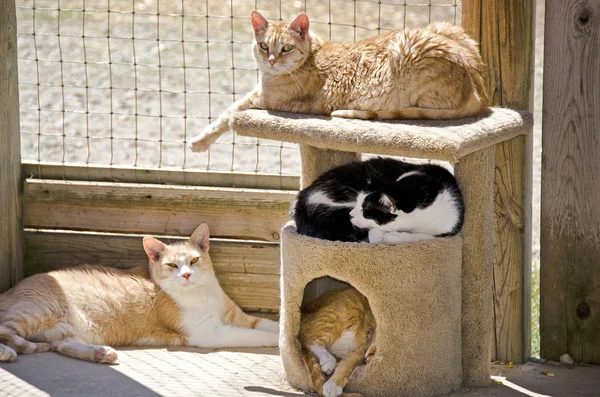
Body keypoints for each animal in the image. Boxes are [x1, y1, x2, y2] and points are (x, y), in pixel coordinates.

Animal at [0, 223, 280, 362]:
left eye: (194, 260)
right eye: (172, 266)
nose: (186, 275)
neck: (202, 294)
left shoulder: (238, 317)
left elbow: (269, 325)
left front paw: (286, 334)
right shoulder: (211, 333)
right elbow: (255, 336)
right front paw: (280, 344)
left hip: (68, 329)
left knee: (63, 344)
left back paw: (99, 353)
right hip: (34, 313)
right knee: (6, 331)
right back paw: (6, 353)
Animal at [190, 11, 490, 152]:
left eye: (286, 48)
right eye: (264, 46)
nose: (272, 60)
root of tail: (480, 91)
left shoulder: (266, 101)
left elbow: (229, 115)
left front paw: (199, 142)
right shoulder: (258, 95)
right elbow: (228, 112)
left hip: (407, 46)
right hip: (444, 29)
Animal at [290, 156, 464, 243]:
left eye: (365, 210)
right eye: (358, 203)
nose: (351, 214)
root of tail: (302, 199)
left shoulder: (449, 227)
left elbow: (422, 236)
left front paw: (392, 237)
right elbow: (373, 233)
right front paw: (382, 237)